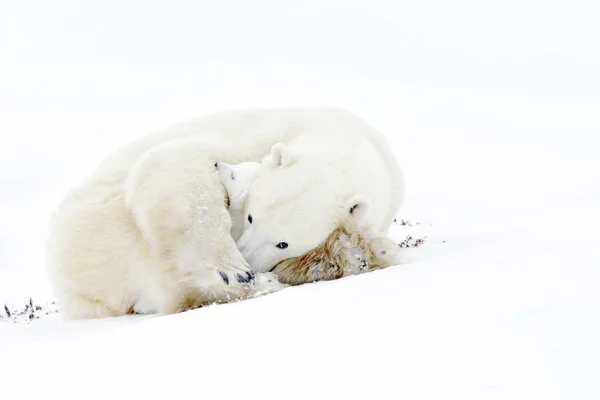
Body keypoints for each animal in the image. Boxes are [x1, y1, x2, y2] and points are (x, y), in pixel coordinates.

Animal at [45, 106, 404, 318]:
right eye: (251, 217)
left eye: (283, 243)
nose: (248, 260)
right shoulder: (249, 141)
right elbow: (173, 162)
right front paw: (232, 269)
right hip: (101, 229)